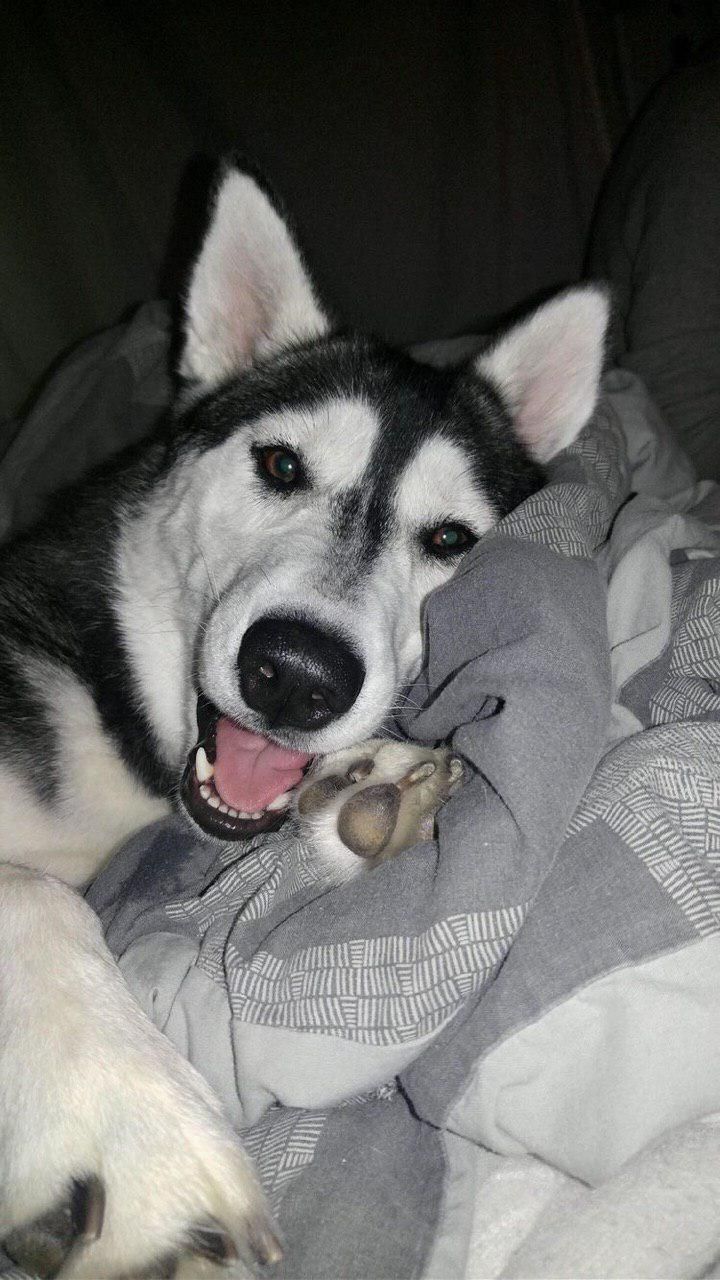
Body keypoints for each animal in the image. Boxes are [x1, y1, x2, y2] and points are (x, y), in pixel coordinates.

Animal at [0, 165, 604, 1274]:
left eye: (449, 540)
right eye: (280, 466)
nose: (295, 676)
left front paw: (368, 798)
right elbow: (31, 893)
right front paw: (123, 1118)